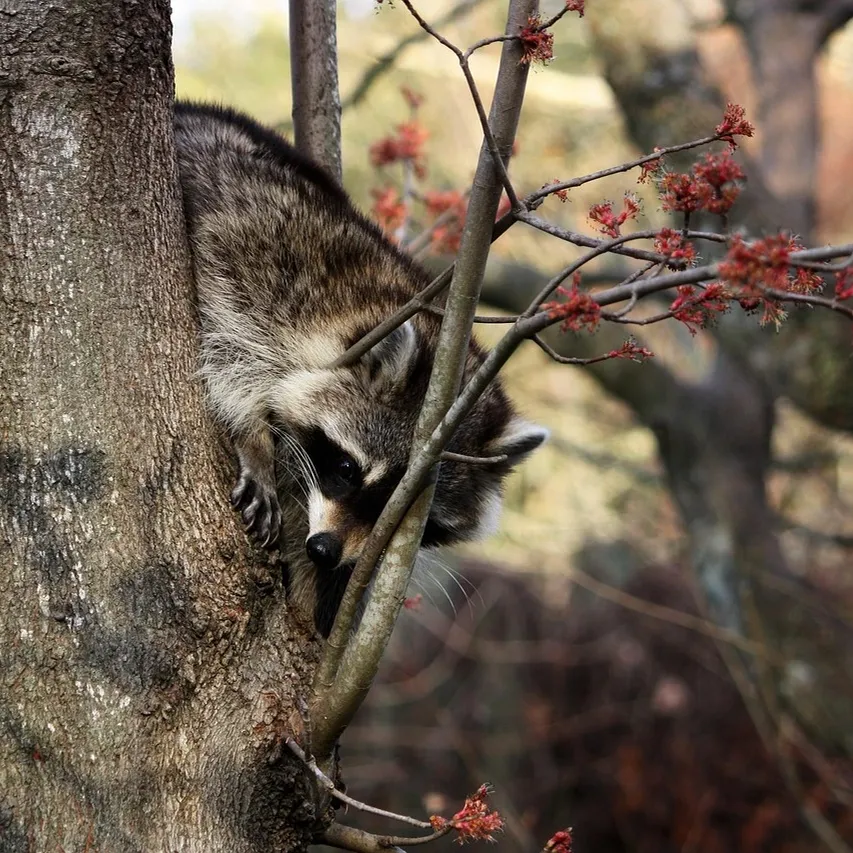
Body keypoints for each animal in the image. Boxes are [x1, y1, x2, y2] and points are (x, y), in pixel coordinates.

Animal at [173, 101, 546, 634]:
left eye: (408, 518)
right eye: (348, 468)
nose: (326, 552)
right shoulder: (252, 261)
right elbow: (226, 348)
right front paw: (253, 438)